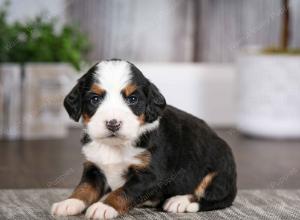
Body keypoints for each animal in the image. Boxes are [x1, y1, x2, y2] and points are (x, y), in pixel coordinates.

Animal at [51, 59, 237, 219]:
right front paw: (69, 203)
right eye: (95, 99)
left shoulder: (150, 176)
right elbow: (84, 188)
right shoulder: (94, 167)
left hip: (218, 172)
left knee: (213, 198)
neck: (115, 146)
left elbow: (123, 192)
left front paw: (104, 206)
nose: (113, 123)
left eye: (132, 99)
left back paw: (180, 201)